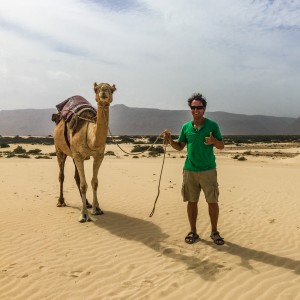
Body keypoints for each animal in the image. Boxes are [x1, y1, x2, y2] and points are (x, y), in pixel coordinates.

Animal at [53, 82, 116, 223]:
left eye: (112, 89)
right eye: (96, 89)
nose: (104, 91)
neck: (89, 135)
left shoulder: (99, 155)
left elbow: (94, 182)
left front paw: (97, 209)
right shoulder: (78, 155)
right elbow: (83, 184)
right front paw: (84, 215)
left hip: (73, 155)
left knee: (76, 177)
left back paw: (87, 203)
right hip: (59, 150)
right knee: (61, 175)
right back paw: (60, 201)